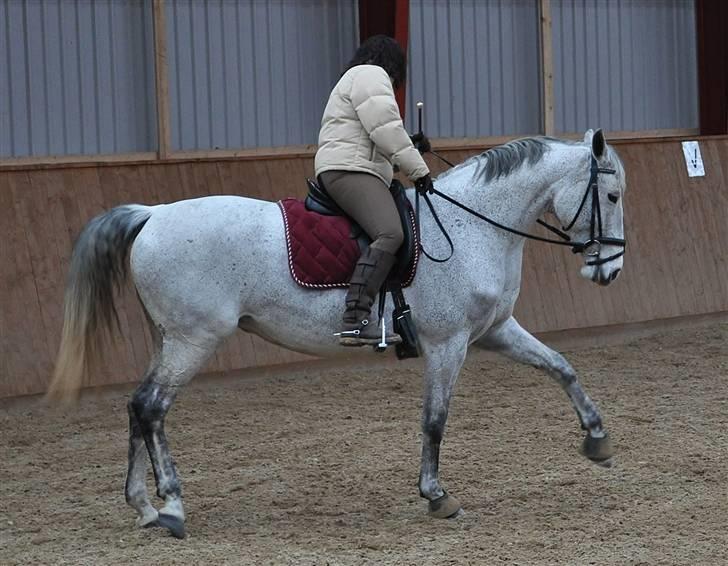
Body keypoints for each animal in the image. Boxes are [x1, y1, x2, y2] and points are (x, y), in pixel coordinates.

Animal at [48, 130, 624, 540]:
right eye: (613, 194)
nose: (611, 270)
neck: (471, 228)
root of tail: (153, 214)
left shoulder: (494, 331)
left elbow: (561, 367)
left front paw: (597, 439)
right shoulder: (449, 344)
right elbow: (435, 420)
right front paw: (436, 495)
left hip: (169, 339)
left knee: (136, 407)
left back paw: (144, 507)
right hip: (194, 340)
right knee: (152, 408)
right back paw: (170, 506)